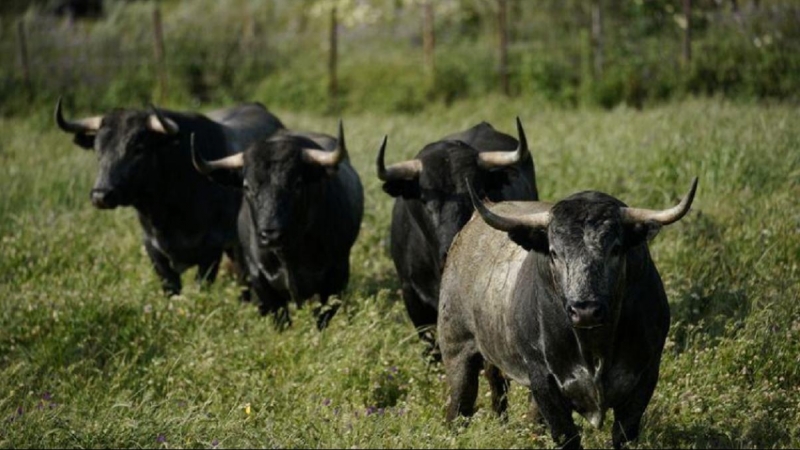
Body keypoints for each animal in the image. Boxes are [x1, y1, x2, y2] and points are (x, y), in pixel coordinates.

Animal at [440, 178, 696, 448]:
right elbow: (565, 434)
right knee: (460, 406)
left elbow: (623, 434)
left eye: (615, 249)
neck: (595, 348)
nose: (586, 311)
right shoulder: (542, 377)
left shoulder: (646, 374)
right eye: (554, 252)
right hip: (457, 350)